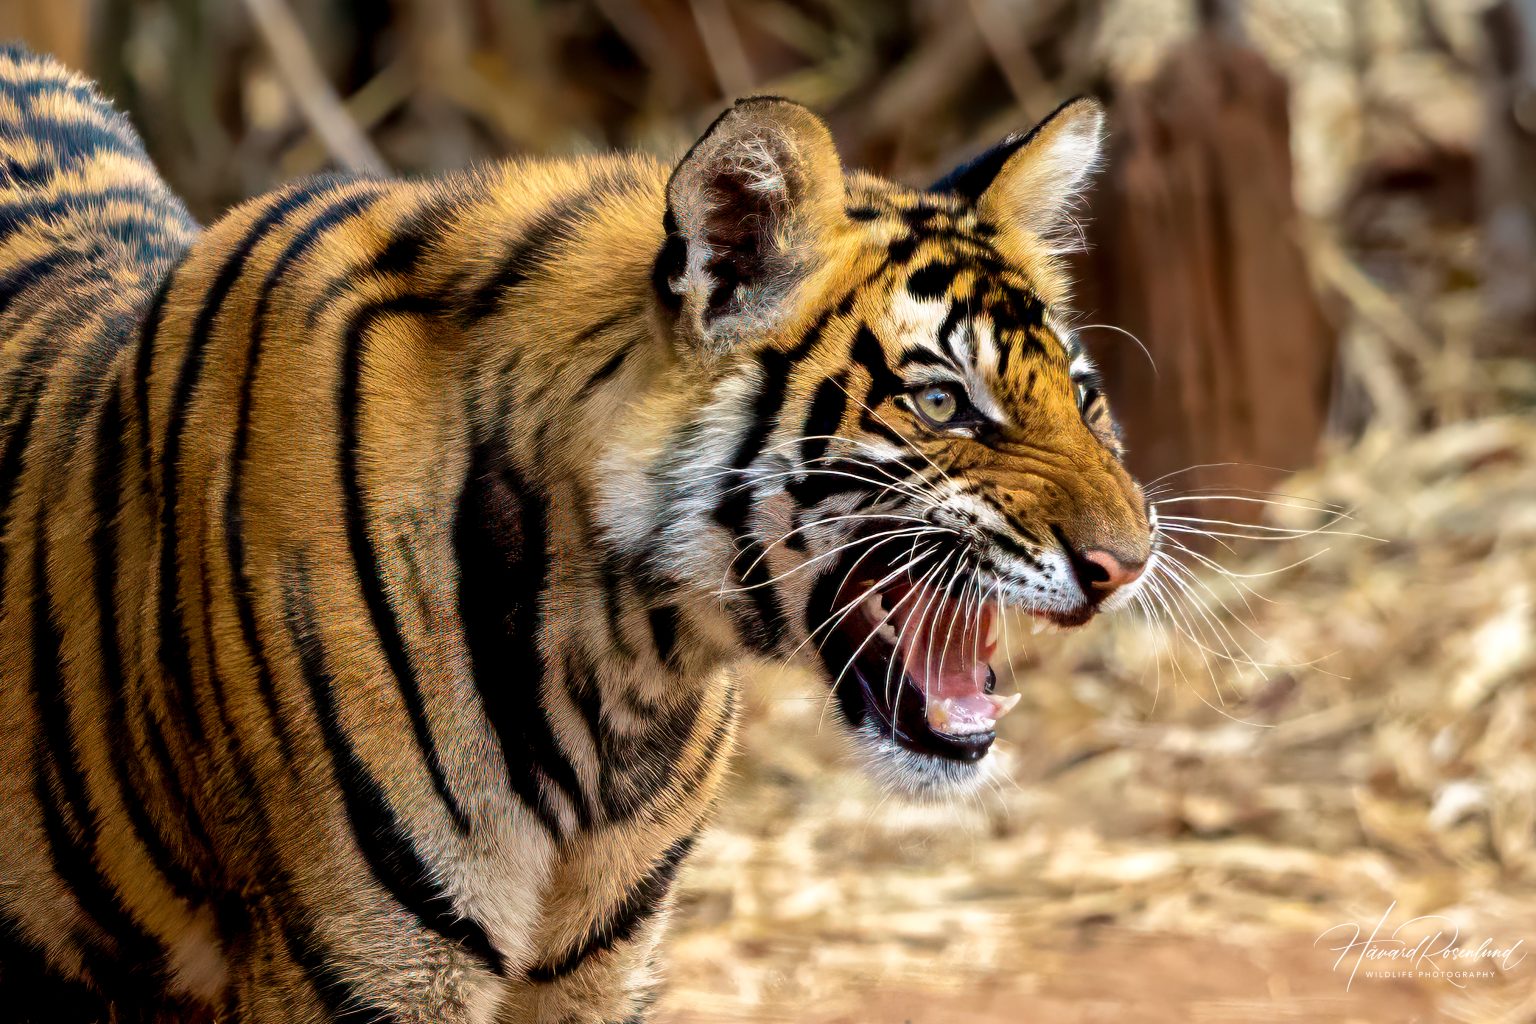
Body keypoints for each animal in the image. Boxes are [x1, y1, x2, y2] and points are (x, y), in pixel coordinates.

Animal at [0, 42, 1153, 1024]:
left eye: (1085, 397)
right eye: (945, 402)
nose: (1128, 563)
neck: (622, 667)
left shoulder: (598, 965)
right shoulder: (356, 964)